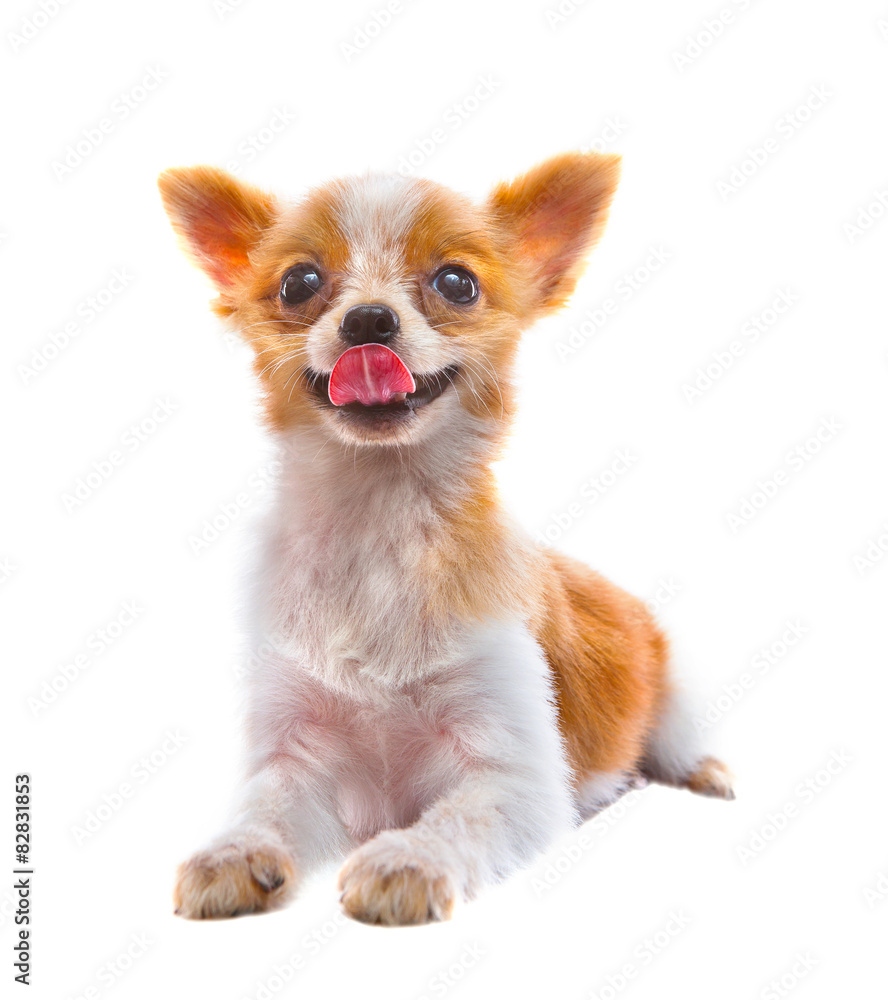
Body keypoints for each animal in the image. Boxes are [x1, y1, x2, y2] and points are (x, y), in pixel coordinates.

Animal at [160, 156, 736, 928]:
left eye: (457, 282)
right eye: (299, 283)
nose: (370, 319)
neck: (378, 520)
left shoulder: (518, 777)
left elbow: (457, 818)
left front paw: (407, 860)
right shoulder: (295, 749)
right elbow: (266, 805)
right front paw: (233, 851)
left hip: (674, 689)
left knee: (678, 741)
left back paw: (703, 772)